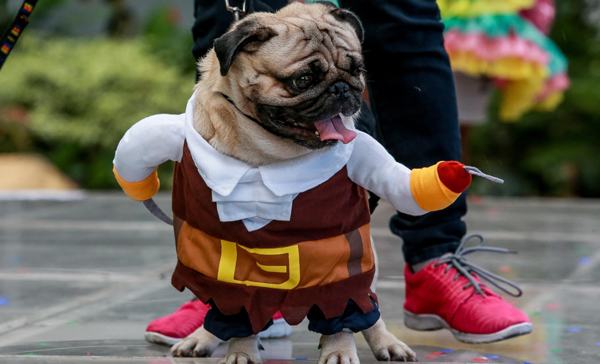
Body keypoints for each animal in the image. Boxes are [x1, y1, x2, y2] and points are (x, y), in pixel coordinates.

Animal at [112, 1, 476, 362]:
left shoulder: (341, 249)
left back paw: (385, 342)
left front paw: (339, 350)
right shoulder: (222, 251)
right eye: (302, 80)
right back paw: (205, 336)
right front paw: (240, 351)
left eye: (357, 70)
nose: (342, 88)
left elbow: (343, 307)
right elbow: (233, 306)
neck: (266, 158)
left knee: (368, 305)